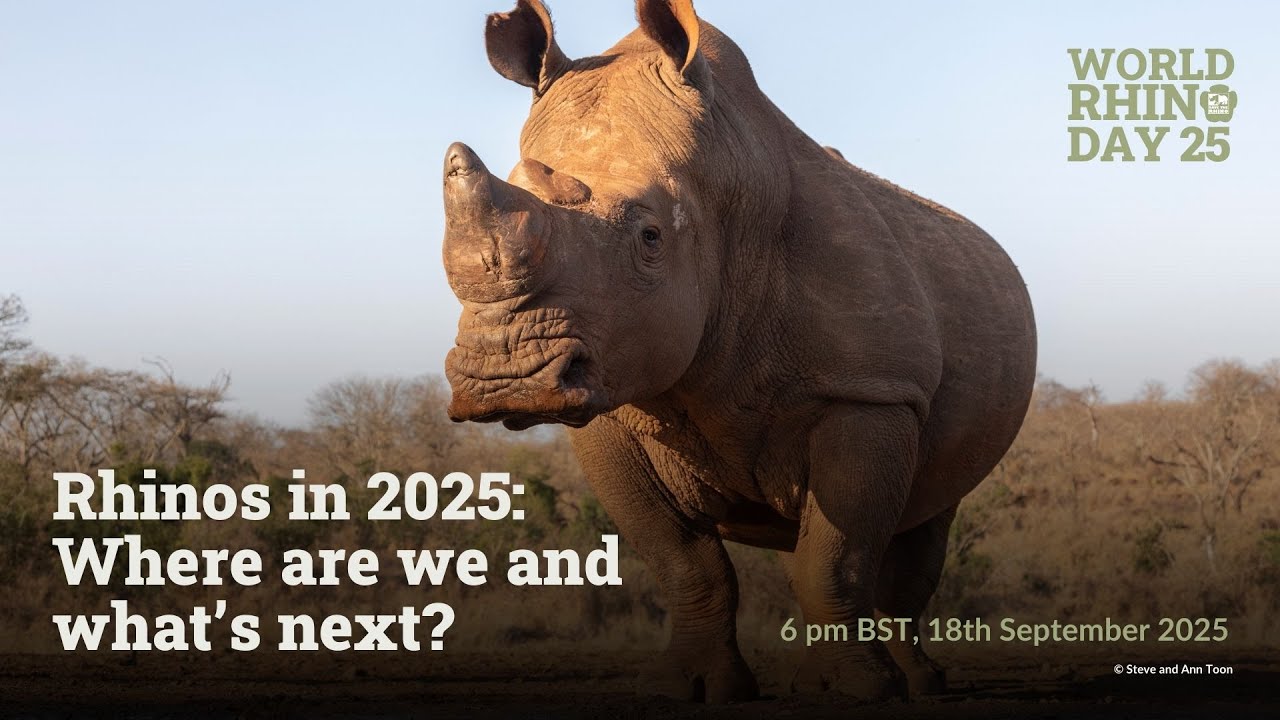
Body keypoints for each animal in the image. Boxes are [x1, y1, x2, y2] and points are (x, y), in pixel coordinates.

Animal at [440, 0, 1036, 703]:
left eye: (650, 237)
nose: (504, 377)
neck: (725, 194)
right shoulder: (608, 408)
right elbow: (685, 563)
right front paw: (692, 687)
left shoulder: (871, 393)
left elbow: (835, 560)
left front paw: (854, 691)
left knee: (926, 524)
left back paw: (923, 684)